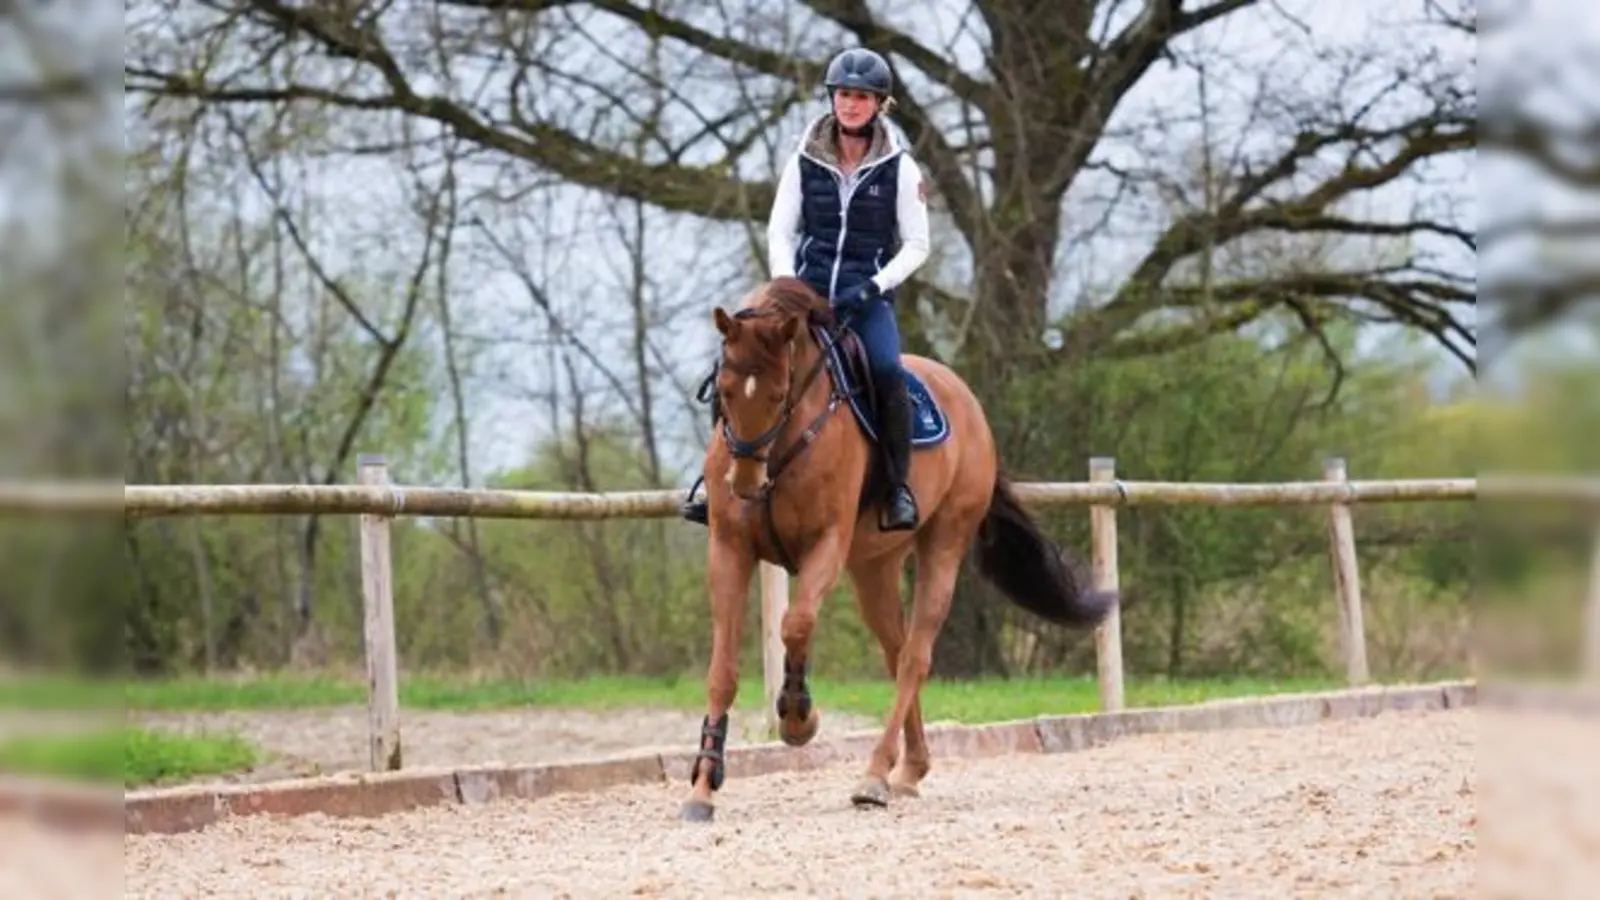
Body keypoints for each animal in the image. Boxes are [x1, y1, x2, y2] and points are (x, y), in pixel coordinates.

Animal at [679, 275, 1117, 822]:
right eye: (723, 391)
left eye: (780, 394)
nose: (744, 484)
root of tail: (967, 401)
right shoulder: (729, 549)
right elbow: (722, 671)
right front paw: (702, 786)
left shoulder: (827, 543)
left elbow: (795, 624)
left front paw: (798, 717)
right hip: (875, 568)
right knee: (897, 650)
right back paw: (910, 770)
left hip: (943, 547)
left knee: (914, 658)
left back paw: (875, 775)